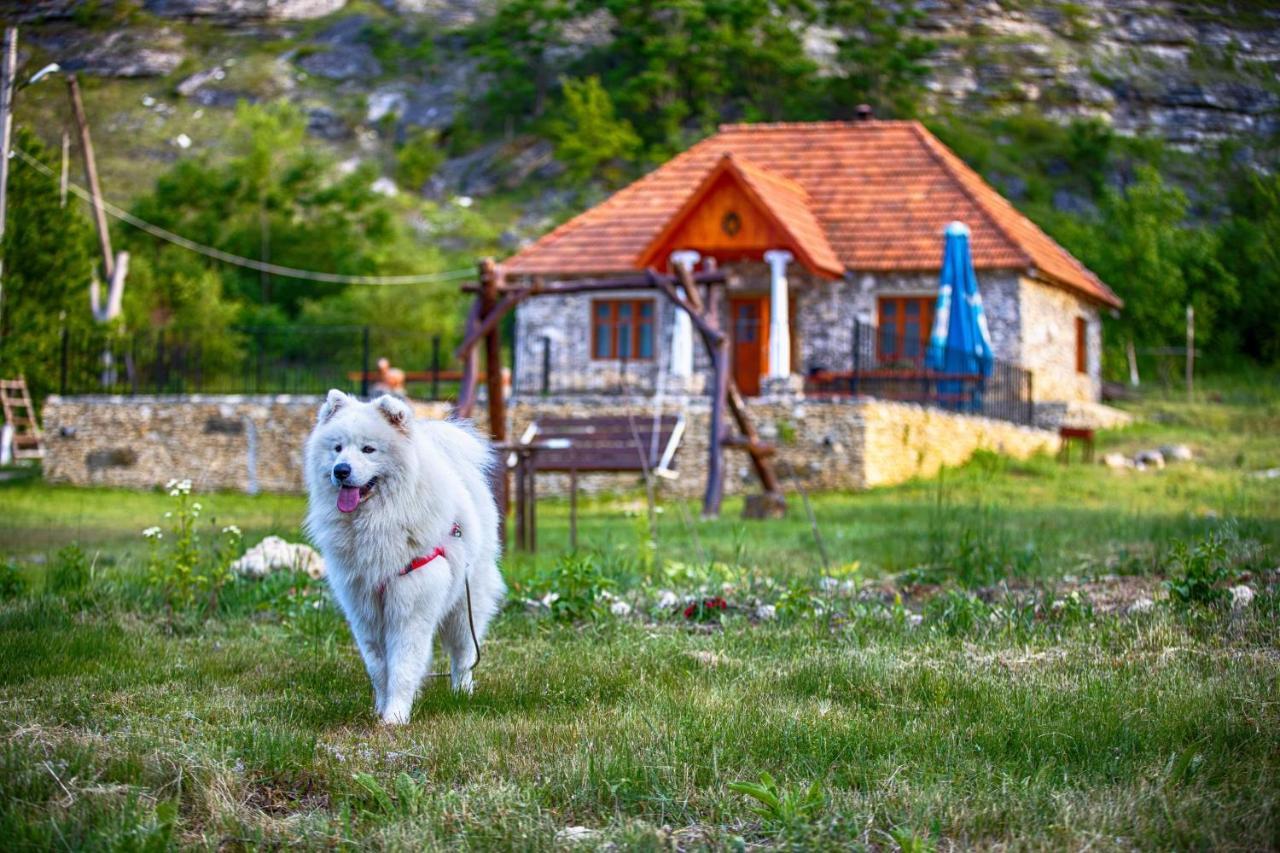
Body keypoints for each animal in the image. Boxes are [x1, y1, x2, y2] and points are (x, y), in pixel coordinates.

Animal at [302, 389, 501, 722]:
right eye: (337, 448)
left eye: (368, 449)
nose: (340, 470)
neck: (379, 521)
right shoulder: (364, 610)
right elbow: (379, 668)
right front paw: (380, 709)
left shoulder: (410, 606)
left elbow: (404, 666)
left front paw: (395, 717)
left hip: (465, 605)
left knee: (463, 655)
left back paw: (462, 693)